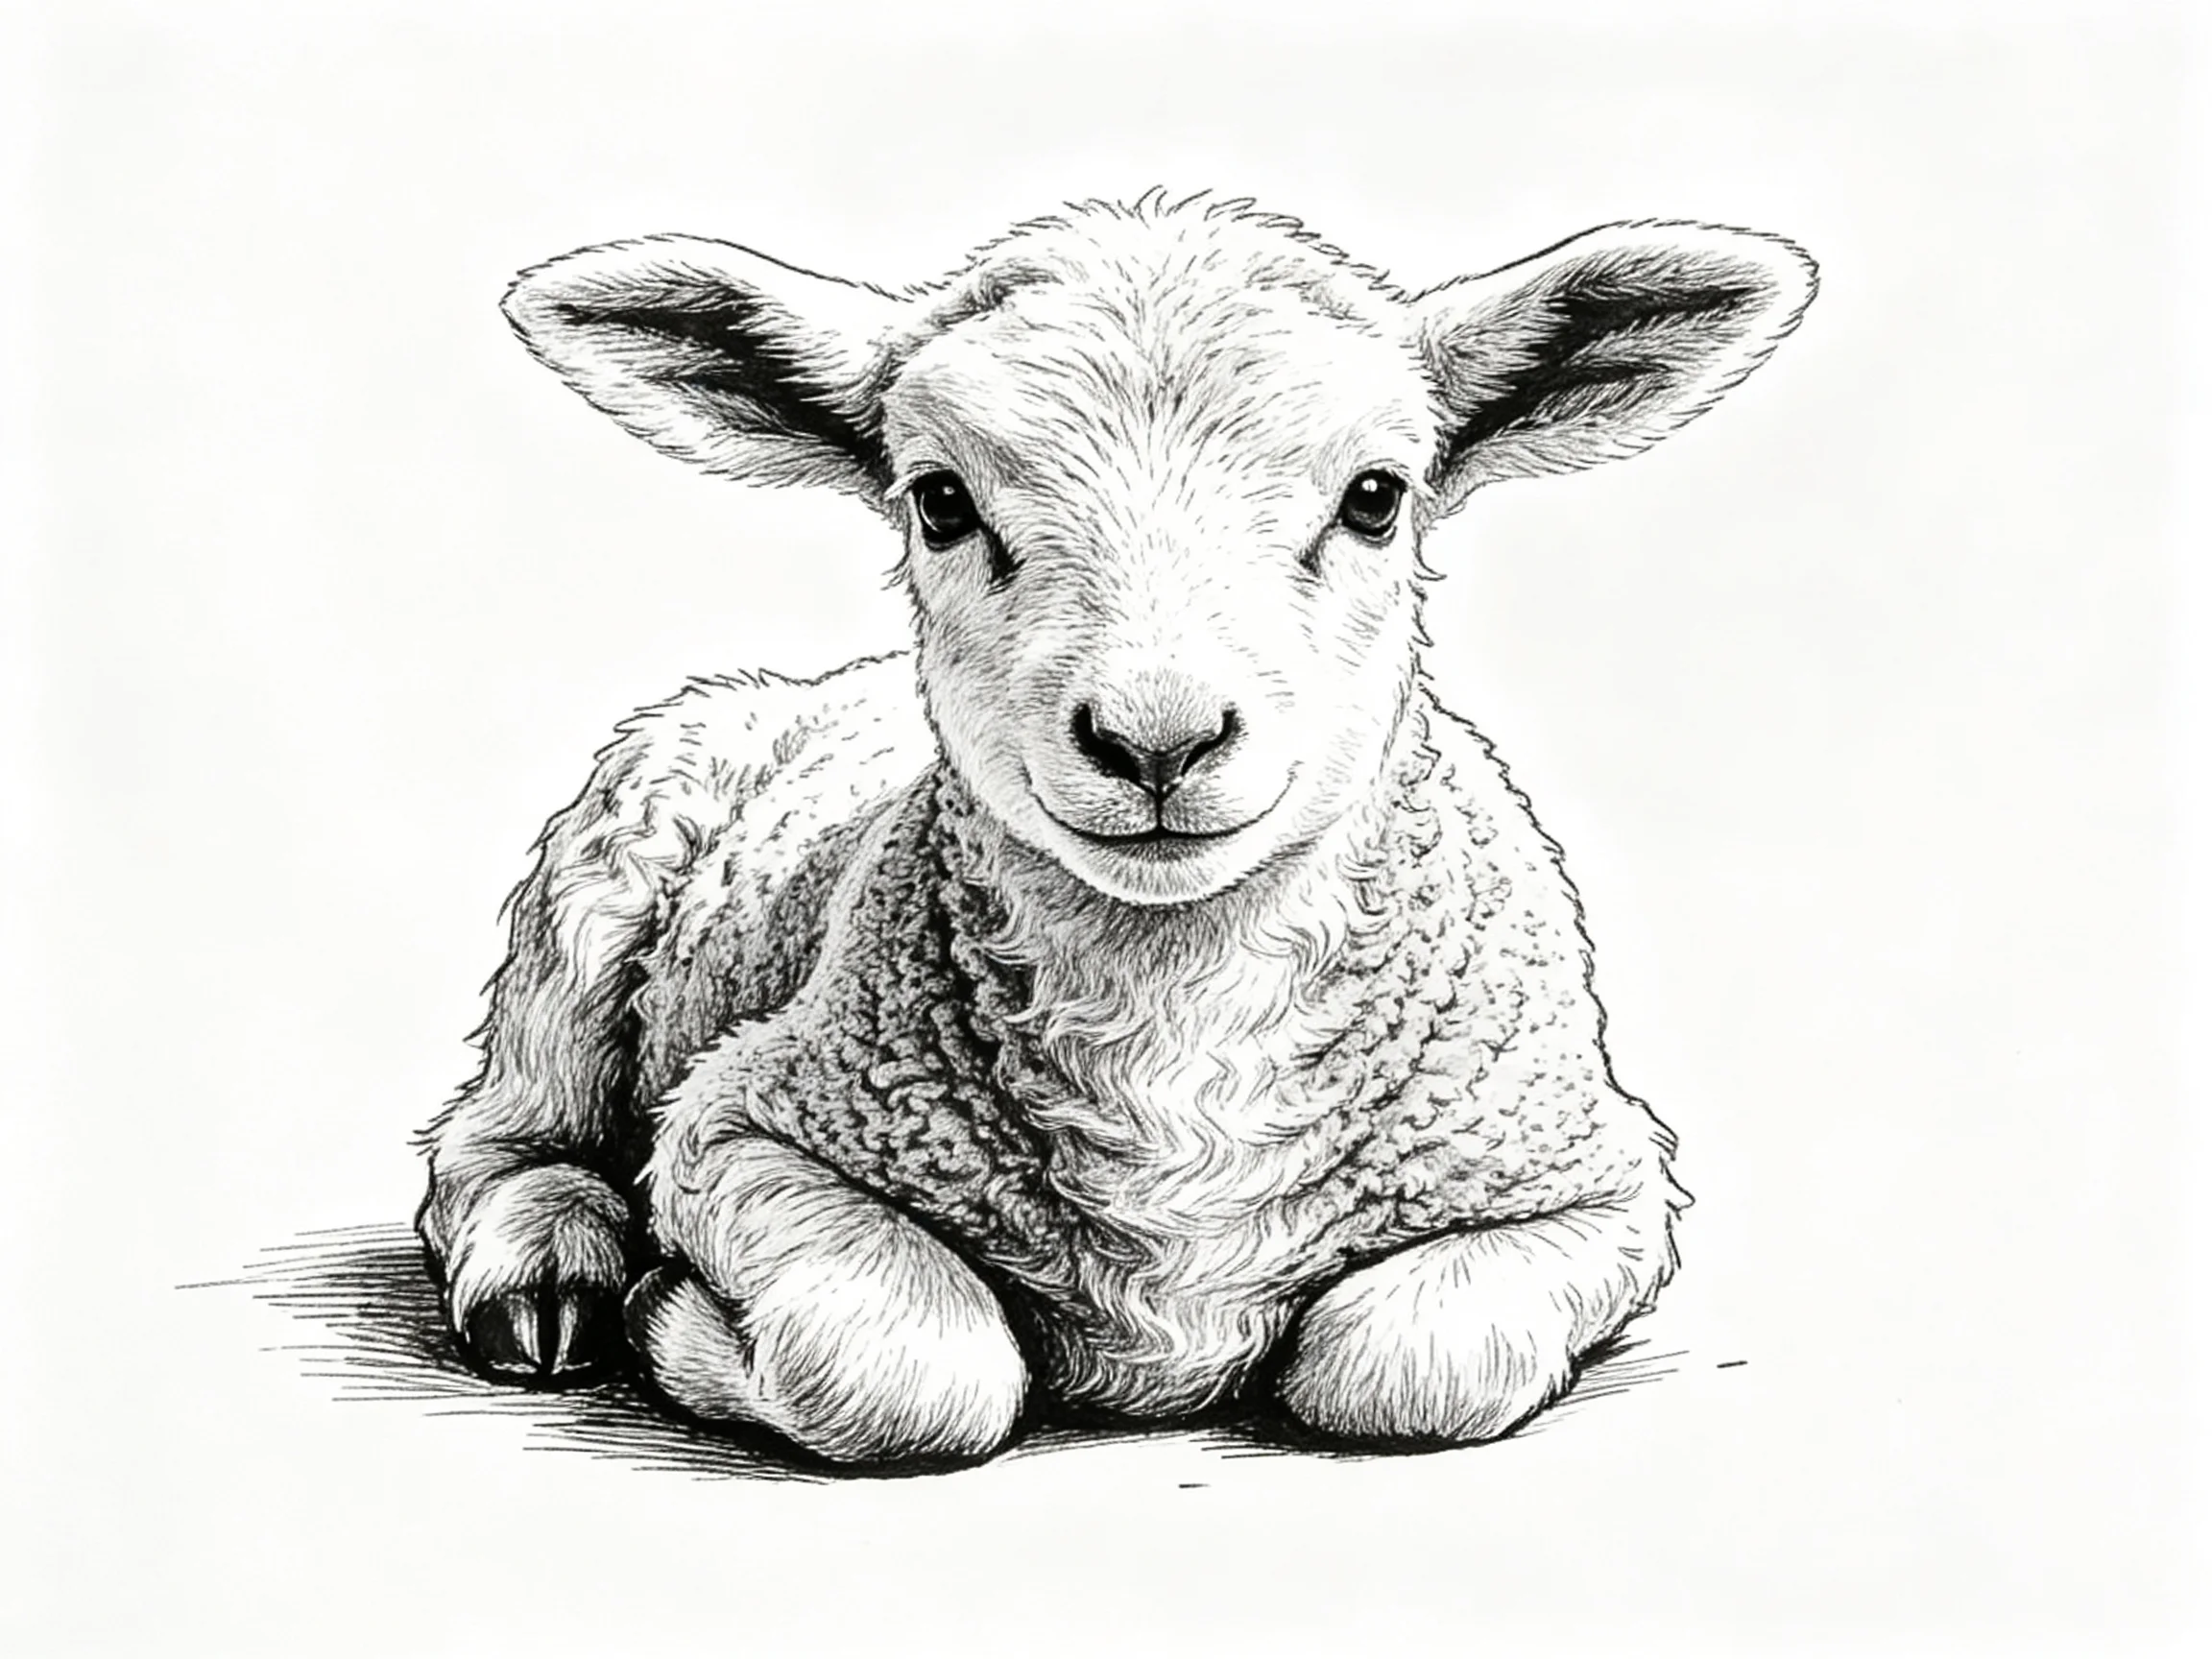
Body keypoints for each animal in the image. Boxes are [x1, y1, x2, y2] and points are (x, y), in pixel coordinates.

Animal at [416, 192, 1816, 1466]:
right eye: (938, 501)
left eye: (1376, 497)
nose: (1158, 738)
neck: (1179, 1022)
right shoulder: (740, 1122)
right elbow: (908, 1366)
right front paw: (676, 1318)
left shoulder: (1596, 1181)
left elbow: (1401, 1365)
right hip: (595, 888)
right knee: (500, 1136)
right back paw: (549, 1279)